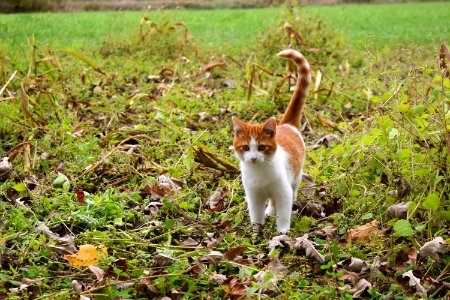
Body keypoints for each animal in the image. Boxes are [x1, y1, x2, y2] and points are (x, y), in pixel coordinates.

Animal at [232, 48, 310, 234]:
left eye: (261, 147)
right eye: (245, 147)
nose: (253, 158)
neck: (260, 172)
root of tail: (287, 124)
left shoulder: (283, 191)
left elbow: (284, 212)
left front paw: (282, 232)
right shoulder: (253, 195)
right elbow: (255, 214)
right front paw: (256, 231)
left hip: (295, 177)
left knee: (291, 192)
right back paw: (269, 211)